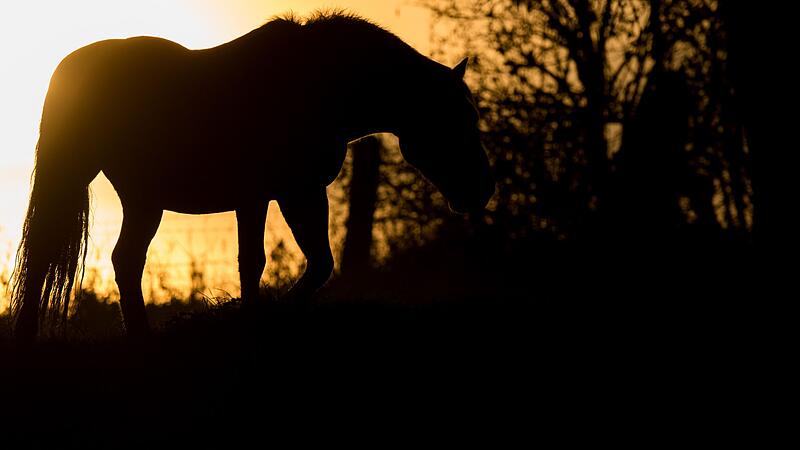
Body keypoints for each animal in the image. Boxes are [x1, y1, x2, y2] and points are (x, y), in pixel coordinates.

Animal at [10, 12, 495, 342]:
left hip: (142, 198)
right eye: (454, 120)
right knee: (57, 256)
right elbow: (269, 262)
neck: (323, 88)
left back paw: (136, 337)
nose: (482, 190)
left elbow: (302, 262)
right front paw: (261, 317)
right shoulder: (276, 193)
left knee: (121, 261)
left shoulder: (290, 193)